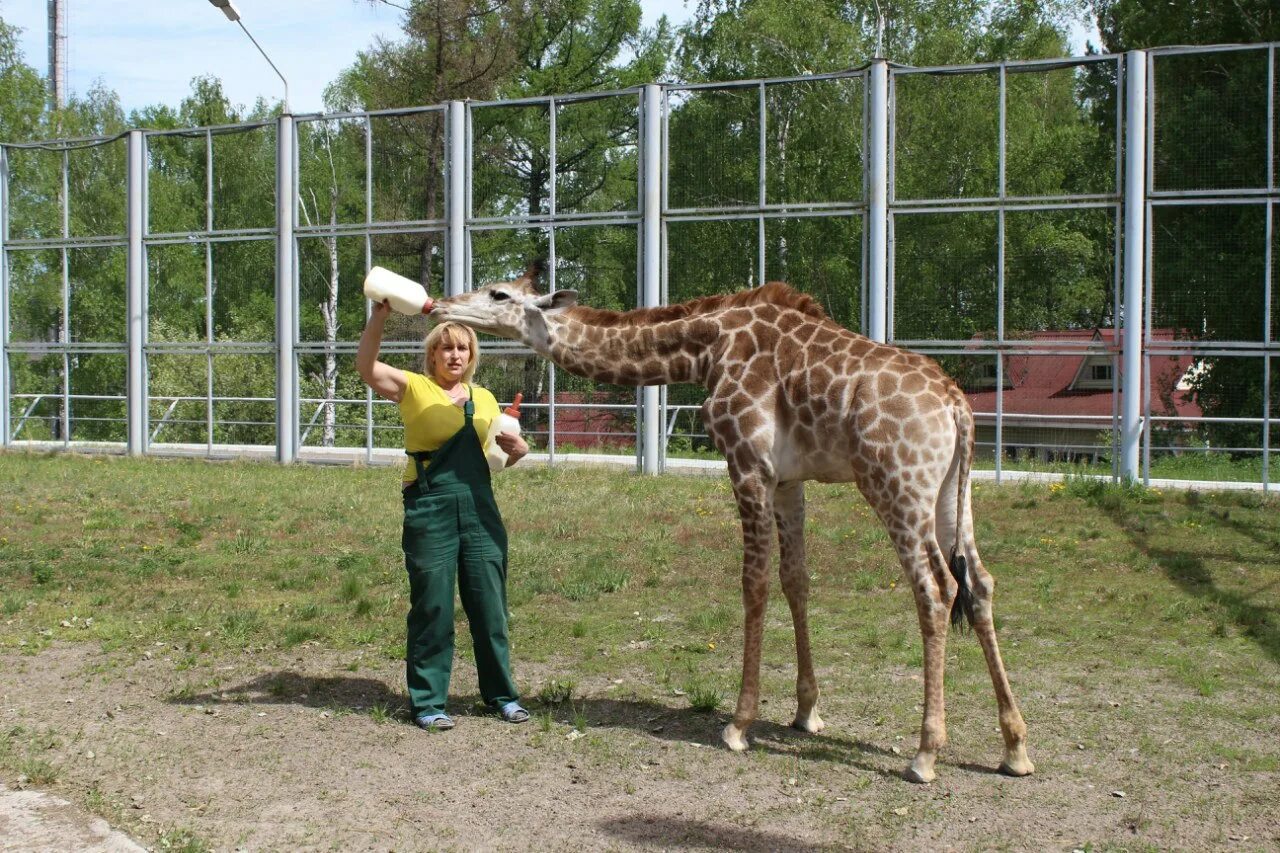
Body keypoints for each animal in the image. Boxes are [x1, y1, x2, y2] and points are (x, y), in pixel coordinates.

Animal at [435, 267, 1034, 783]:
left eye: (498, 294)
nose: (440, 304)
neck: (706, 349)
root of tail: (957, 406)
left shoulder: (747, 463)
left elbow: (755, 583)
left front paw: (740, 724)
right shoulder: (788, 480)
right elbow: (796, 580)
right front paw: (806, 713)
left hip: (897, 485)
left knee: (935, 589)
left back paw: (925, 754)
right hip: (952, 493)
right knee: (980, 583)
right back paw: (1015, 747)